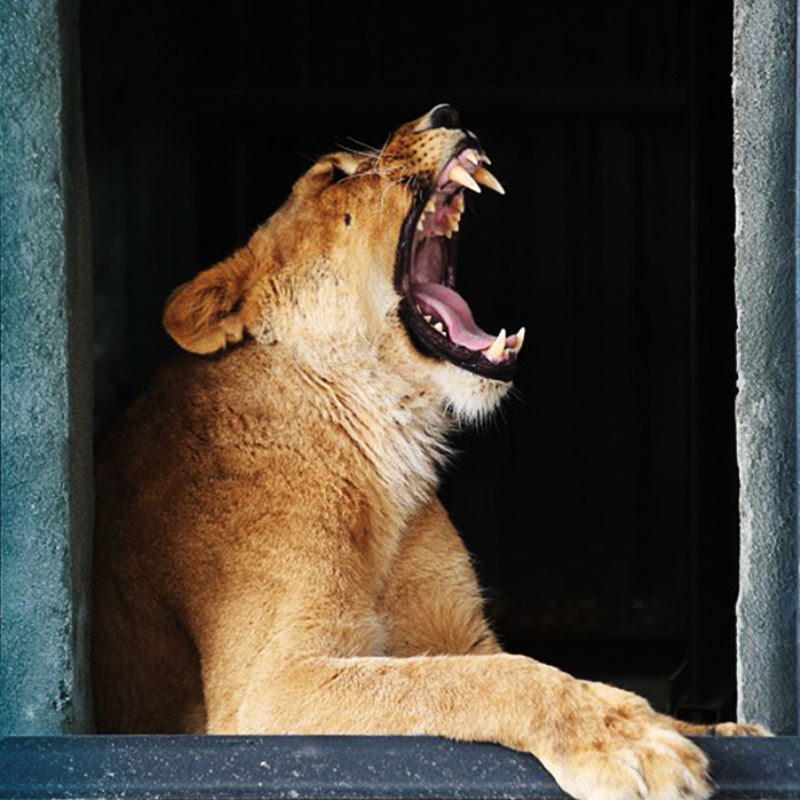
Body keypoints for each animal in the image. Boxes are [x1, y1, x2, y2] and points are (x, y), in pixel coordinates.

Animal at [92, 106, 764, 800]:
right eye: (335, 175)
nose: (446, 113)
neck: (383, 443)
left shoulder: (459, 633)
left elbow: (518, 669)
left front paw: (710, 729)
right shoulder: (269, 688)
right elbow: (472, 680)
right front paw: (627, 742)